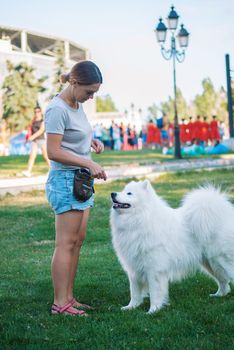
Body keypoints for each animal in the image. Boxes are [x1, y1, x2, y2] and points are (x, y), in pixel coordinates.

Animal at [110, 180, 234, 314]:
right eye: (122, 190)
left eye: (129, 193)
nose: (112, 193)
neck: (141, 219)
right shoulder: (133, 268)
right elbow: (134, 292)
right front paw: (131, 307)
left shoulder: (153, 268)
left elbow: (154, 292)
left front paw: (152, 310)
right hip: (210, 263)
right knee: (223, 281)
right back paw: (219, 295)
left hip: (222, 260)